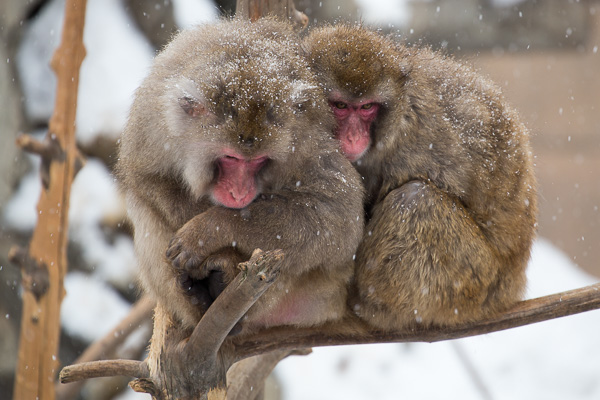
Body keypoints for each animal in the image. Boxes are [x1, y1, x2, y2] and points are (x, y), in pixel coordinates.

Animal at [115, 18, 364, 334]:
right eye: (231, 158)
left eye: (258, 160)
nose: (239, 193)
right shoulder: (151, 125)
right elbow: (145, 178)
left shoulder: (305, 142)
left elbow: (337, 215)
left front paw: (207, 231)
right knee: (141, 204)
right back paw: (197, 299)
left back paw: (223, 282)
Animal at [304, 25, 540, 332]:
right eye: (341, 105)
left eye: (367, 107)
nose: (354, 137)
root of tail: (515, 283)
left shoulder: (414, 146)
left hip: (475, 284)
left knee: (416, 200)